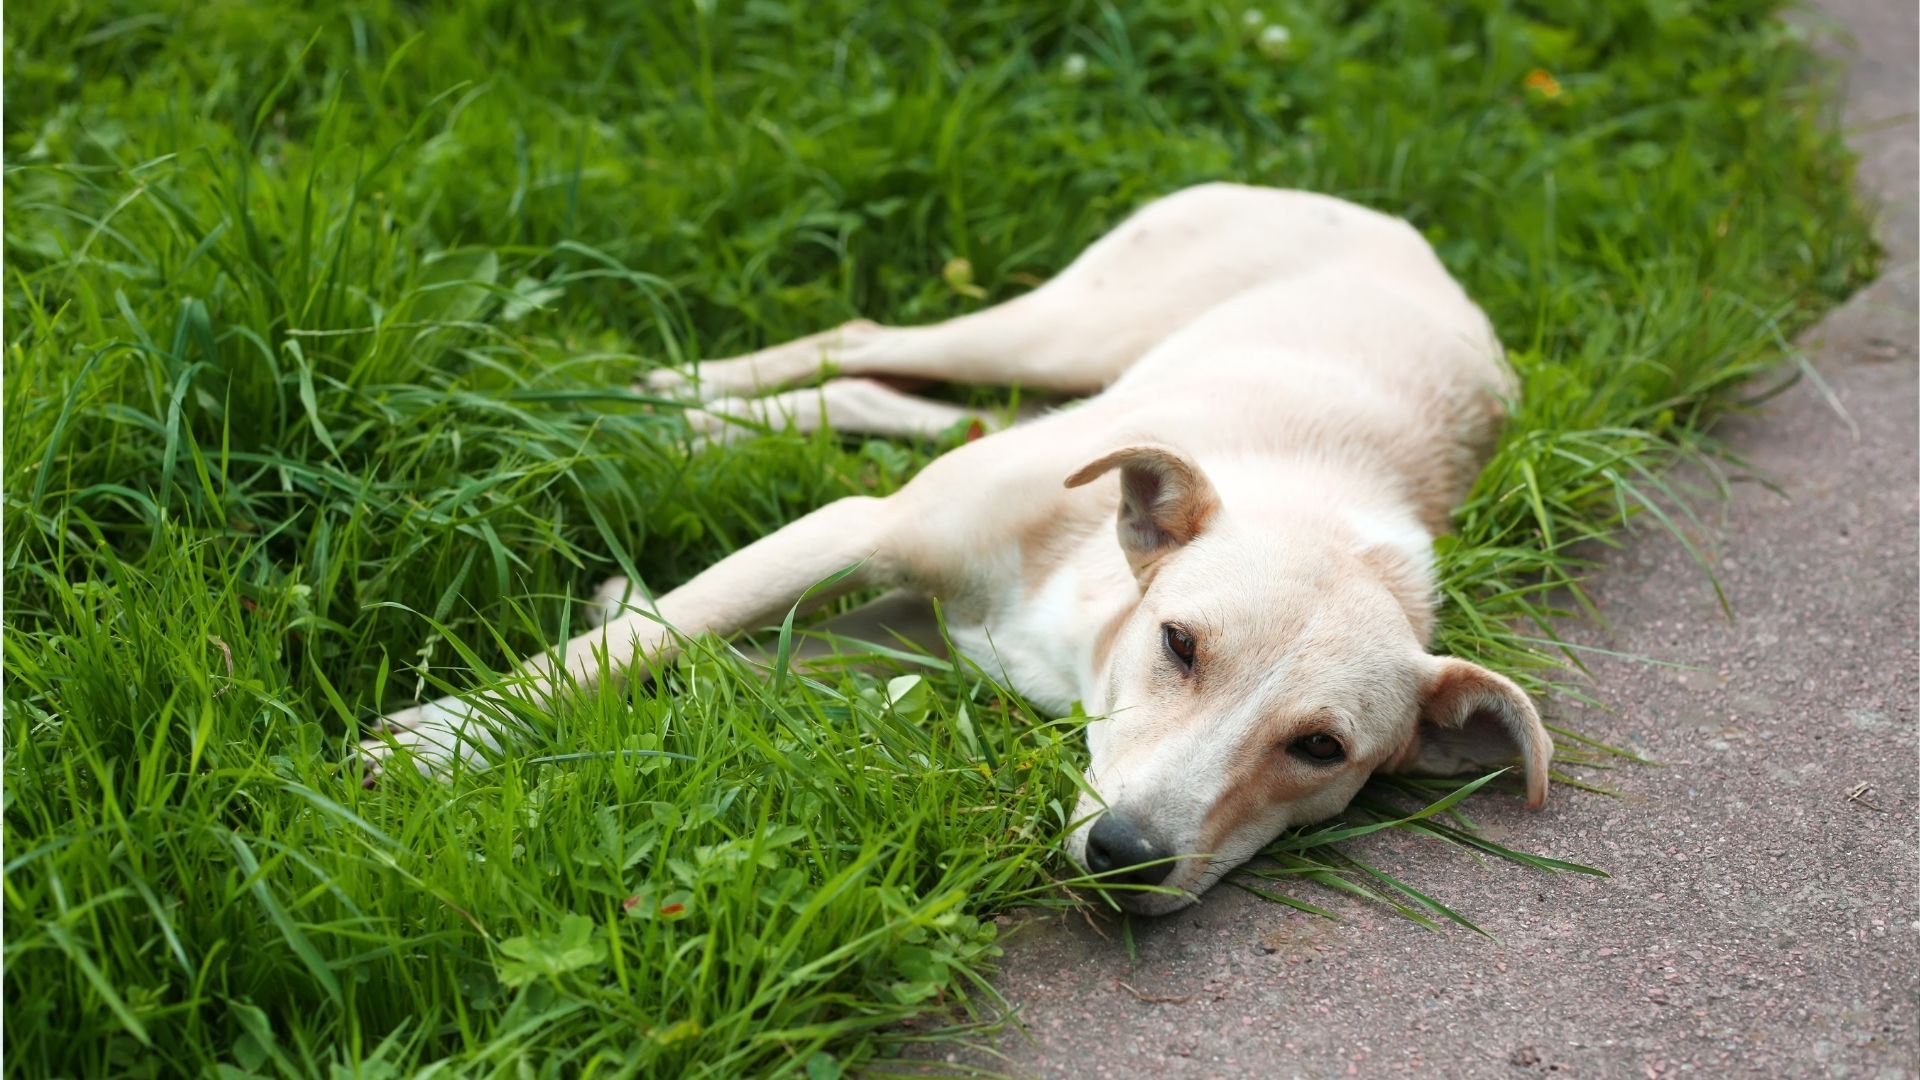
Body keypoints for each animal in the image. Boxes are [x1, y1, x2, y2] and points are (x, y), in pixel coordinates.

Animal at [366, 182, 1551, 907]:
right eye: (1180, 646)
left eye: (1321, 750)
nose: (1126, 861)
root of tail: (1386, 219)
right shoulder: (864, 533)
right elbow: (636, 649)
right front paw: (440, 740)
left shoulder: (910, 641)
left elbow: (718, 662)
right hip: (1065, 331)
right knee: (870, 340)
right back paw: (665, 396)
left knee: (906, 399)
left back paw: (685, 429)